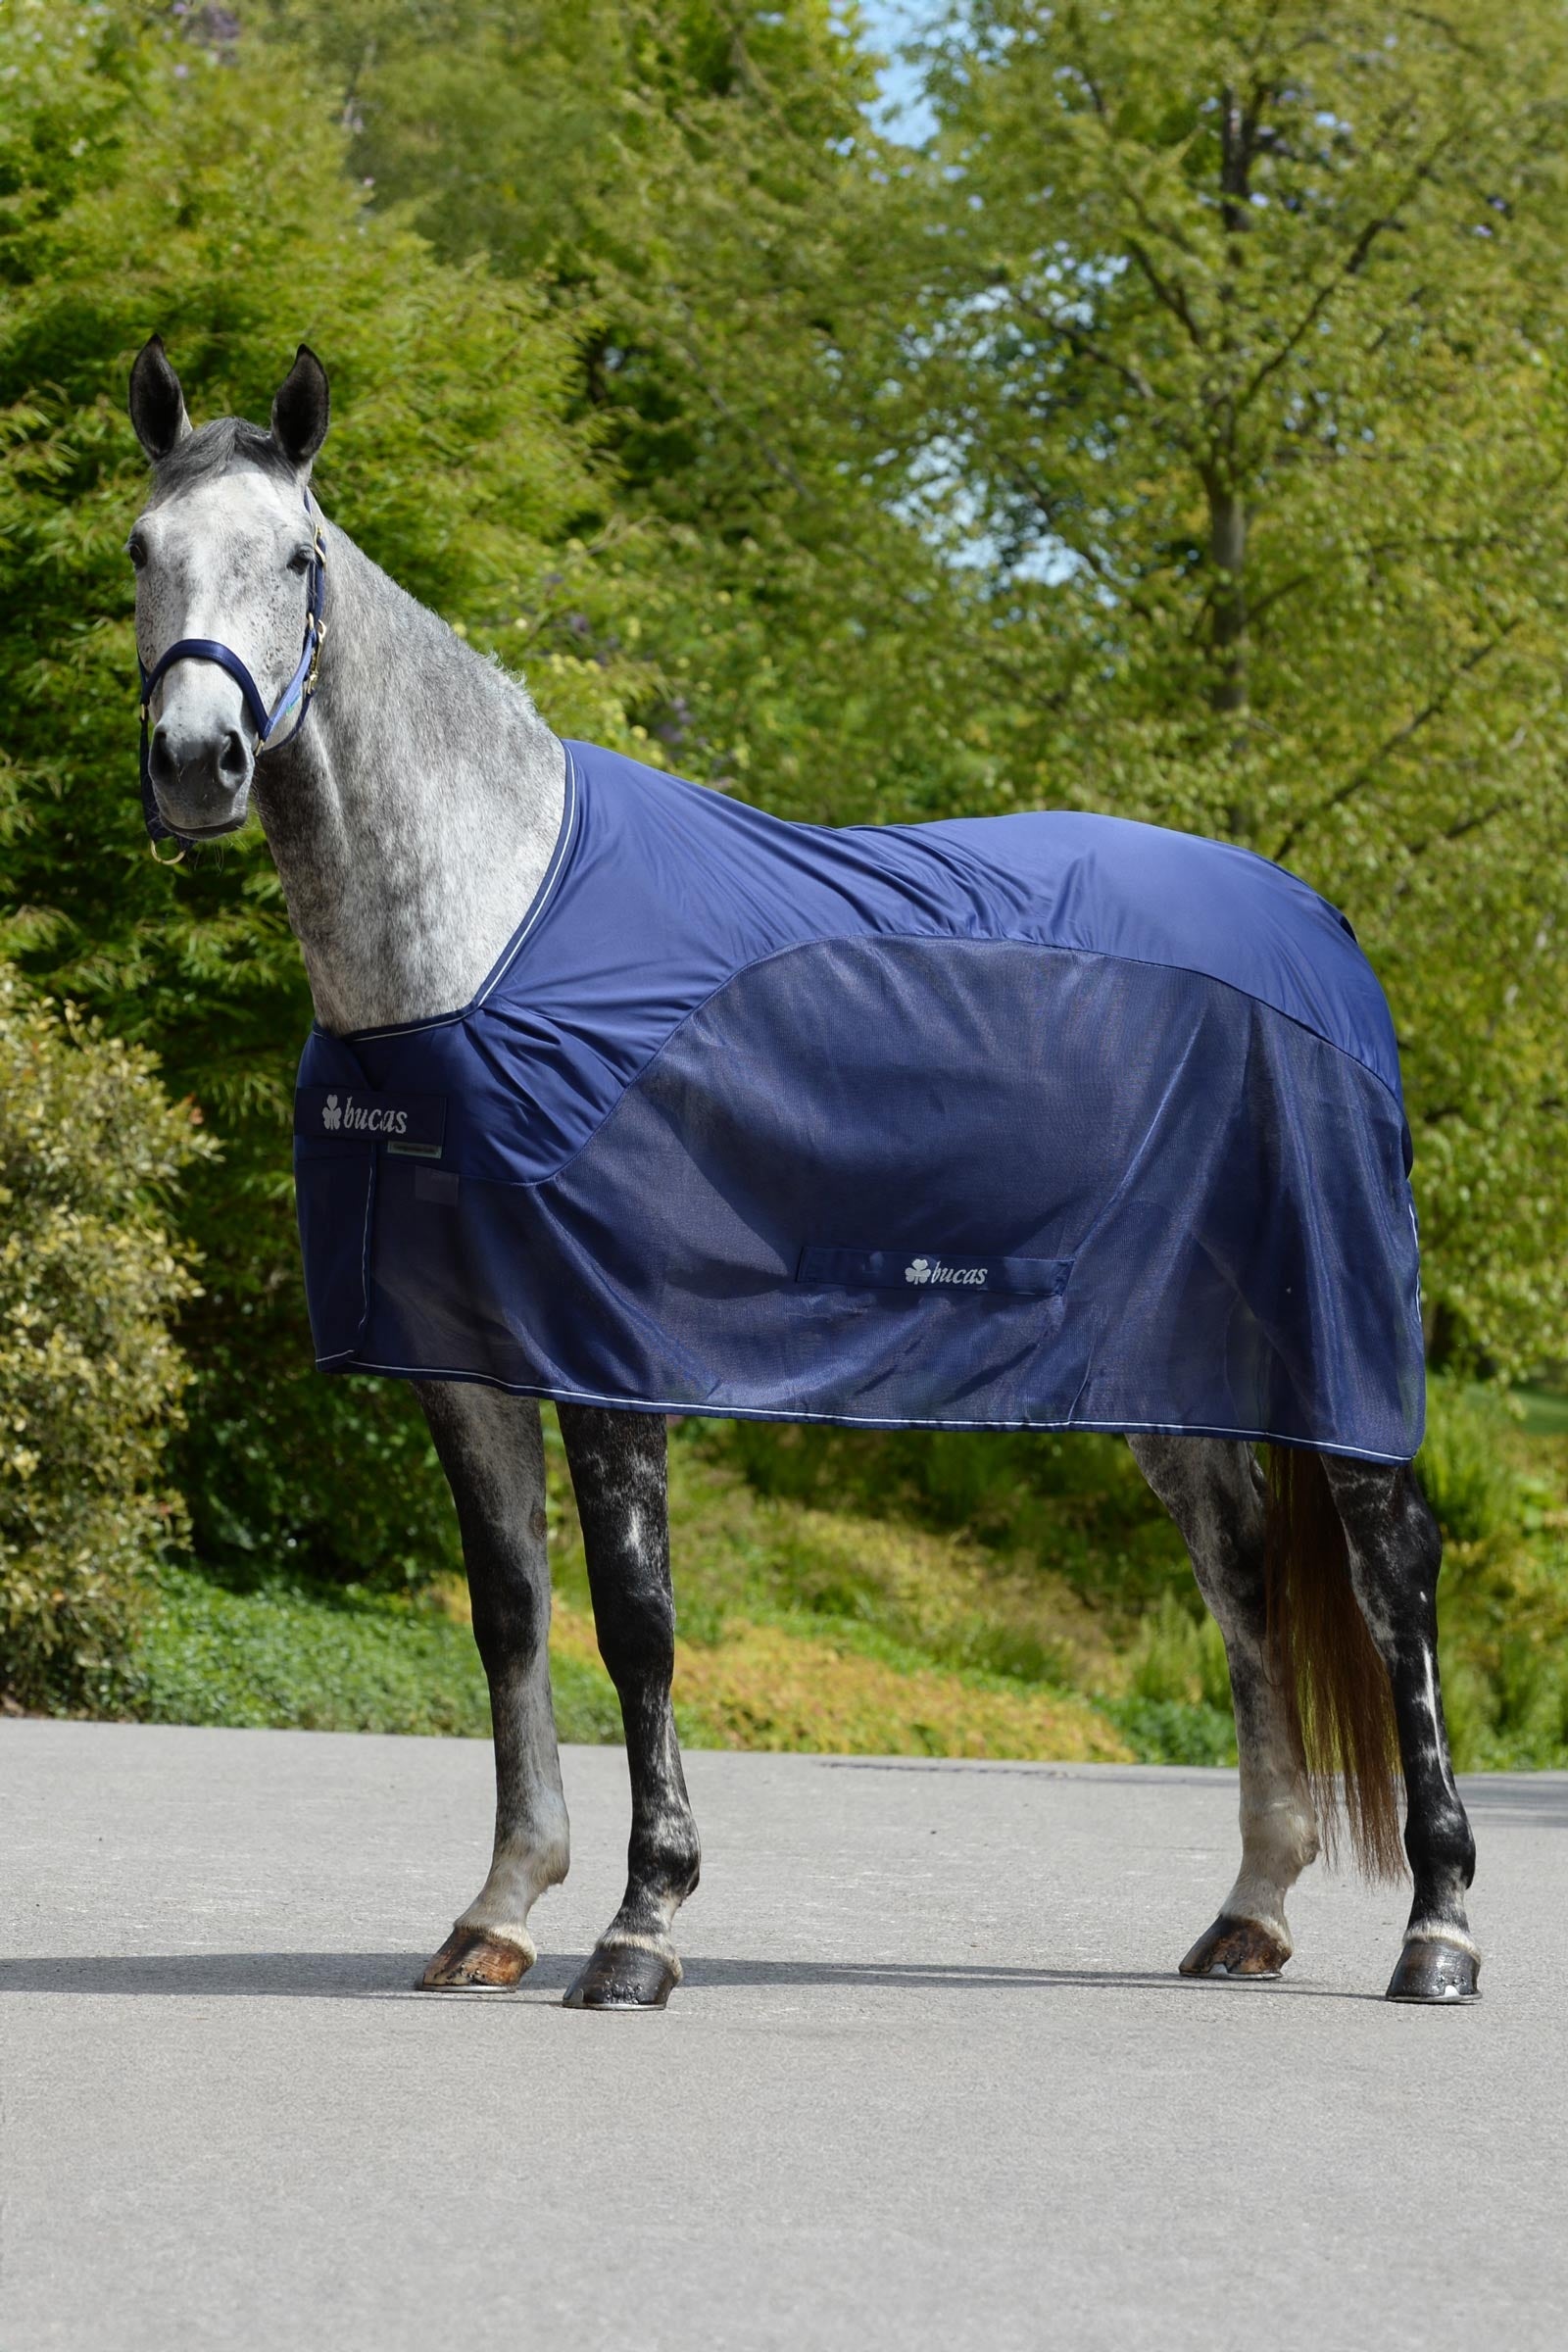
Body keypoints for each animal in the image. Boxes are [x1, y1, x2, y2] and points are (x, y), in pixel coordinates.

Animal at [124, 337, 1480, 2008]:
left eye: (298, 558)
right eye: (143, 549)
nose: (199, 762)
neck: (489, 933)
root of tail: (1318, 926)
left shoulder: (610, 1353)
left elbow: (636, 1625)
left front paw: (641, 1925)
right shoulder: (461, 1360)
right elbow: (508, 1617)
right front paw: (499, 1909)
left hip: (1338, 1347)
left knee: (1392, 1576)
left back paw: (1438, 1929)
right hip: (1166, 1365)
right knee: (1240, 1577)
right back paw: (1253, 1910)